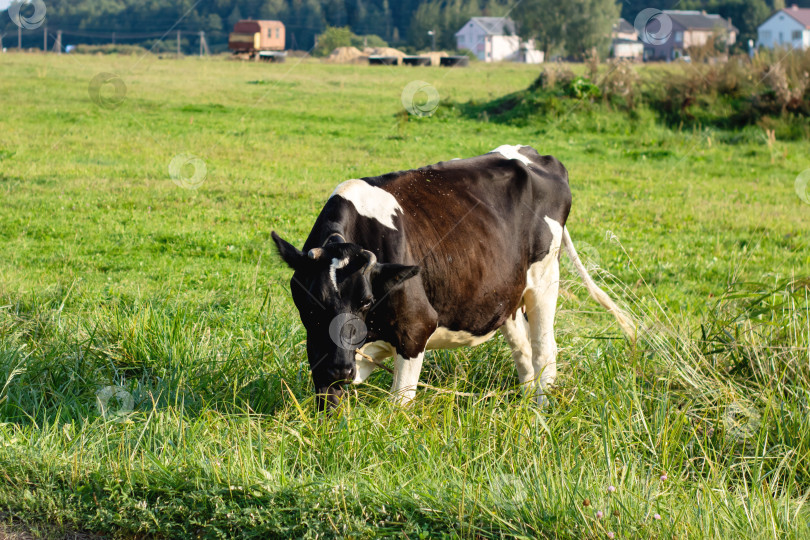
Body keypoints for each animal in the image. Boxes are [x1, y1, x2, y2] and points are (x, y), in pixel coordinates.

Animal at [274, 143, 636, 410]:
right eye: (312, 303)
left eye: (365, 301)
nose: (341, 369)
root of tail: (535, 155)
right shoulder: (320, 348)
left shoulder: (416, 327)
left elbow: (398, 405)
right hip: (506, 294)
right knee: (522, 351)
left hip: (545, 278)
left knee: (544, 352)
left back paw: (540, 413)